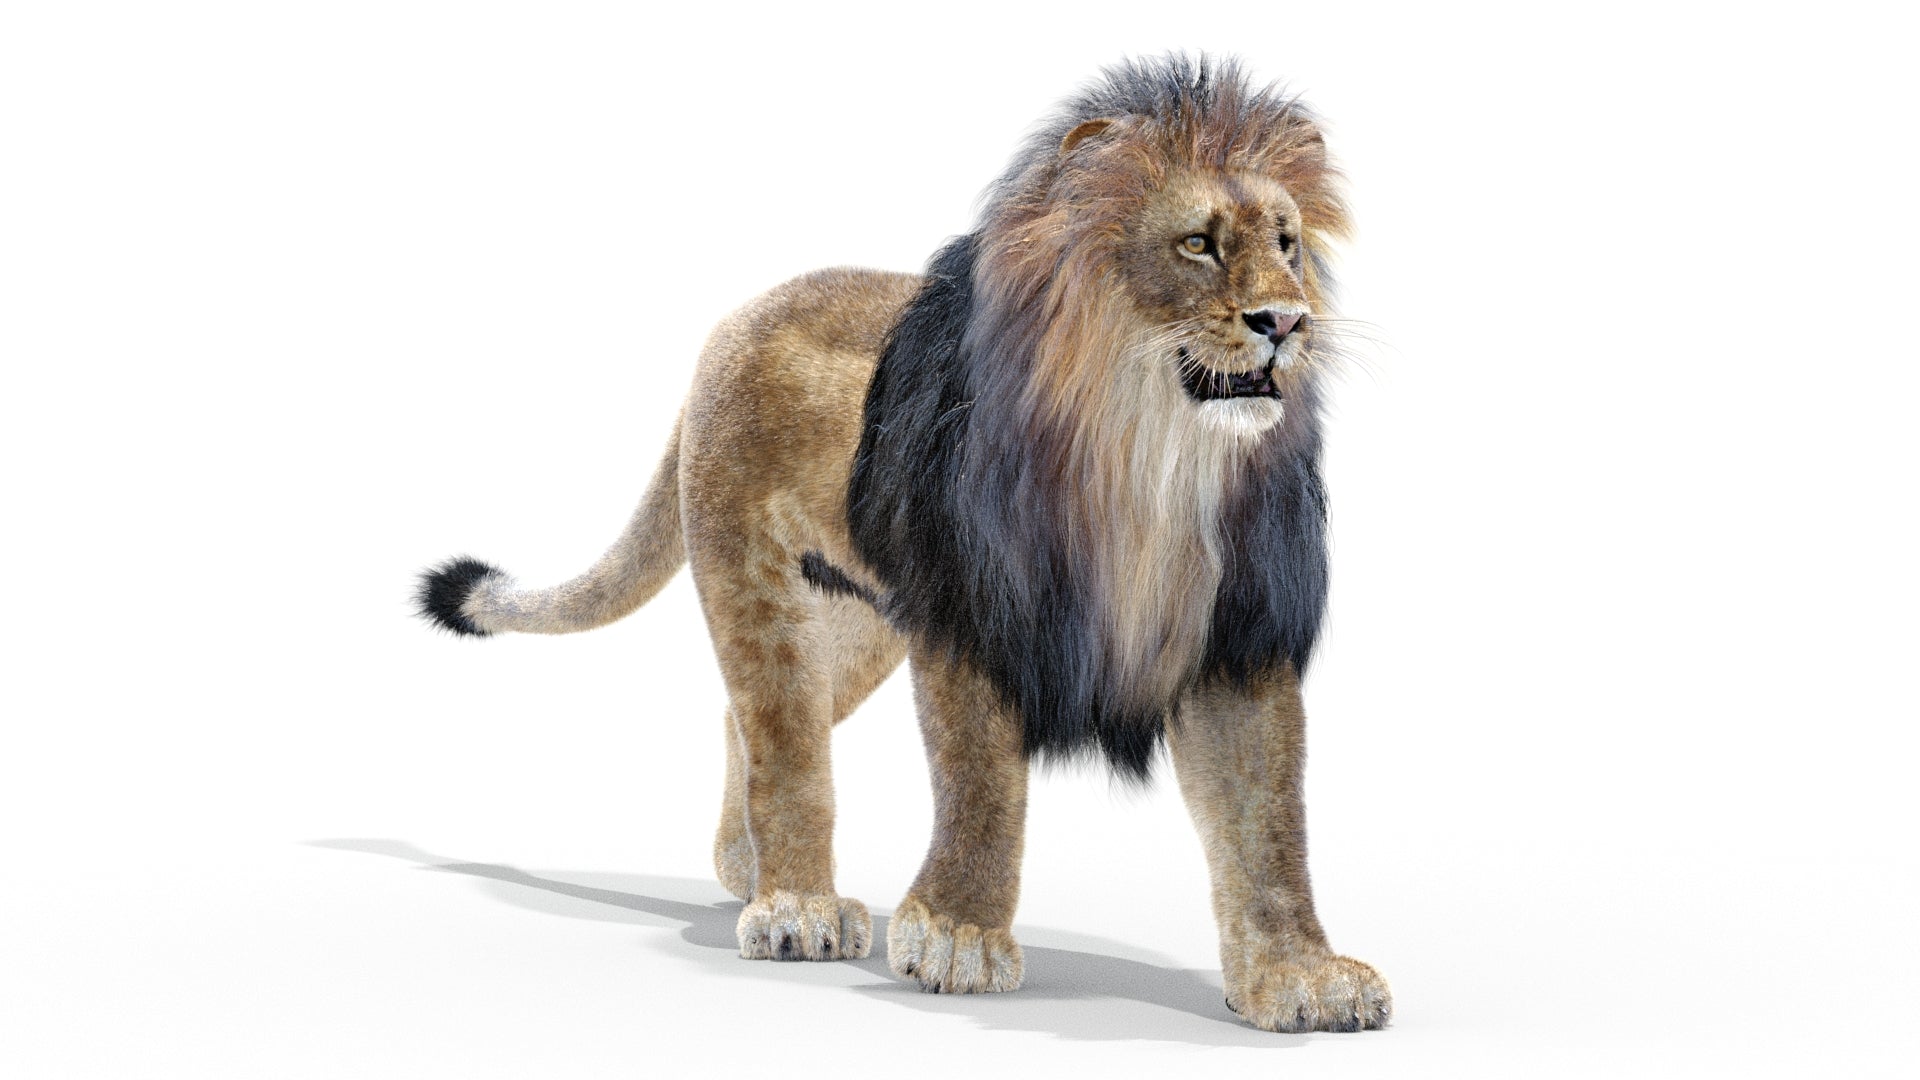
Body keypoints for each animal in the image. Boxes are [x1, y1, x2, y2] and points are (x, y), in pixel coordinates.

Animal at [415, 55, 1390, 1033]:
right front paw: (959, 936)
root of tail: (734, 323)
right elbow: (980, 781)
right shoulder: (971, 612)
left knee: (750, 719)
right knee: (783, 736)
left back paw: (746, 867)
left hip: (862, 619)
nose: (1286, 321)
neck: (1150, 458)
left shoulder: (1240, 634)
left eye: (1287, 244)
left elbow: (1268, 823)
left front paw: (1302, 977)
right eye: (1198, 244)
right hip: (751, 579)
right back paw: (795, 907)